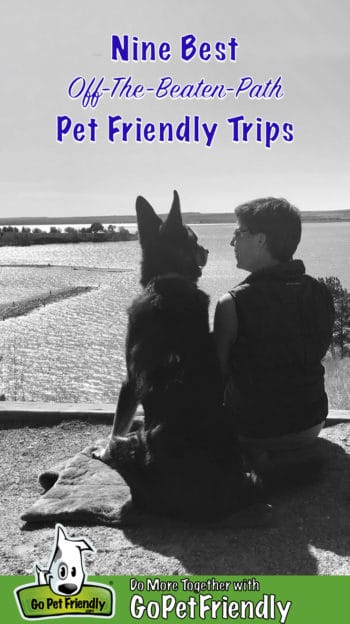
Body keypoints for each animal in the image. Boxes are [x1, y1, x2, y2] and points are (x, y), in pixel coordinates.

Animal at [94, 191, 250, 520]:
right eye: (195, 239)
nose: (207, 248)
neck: (166, 278)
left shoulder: (128, 383)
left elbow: (117, 423)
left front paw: (99, 450)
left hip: (130, 445)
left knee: (119, 441)